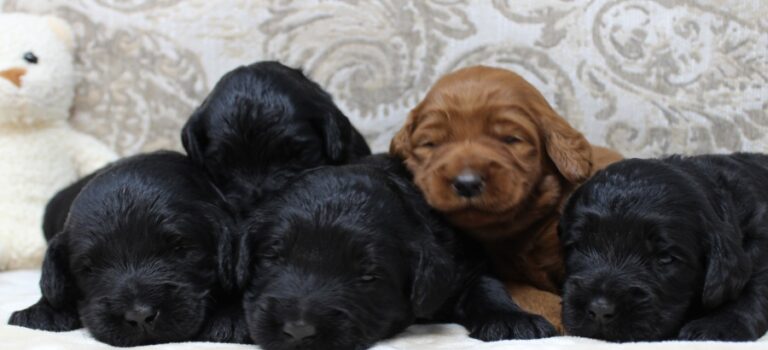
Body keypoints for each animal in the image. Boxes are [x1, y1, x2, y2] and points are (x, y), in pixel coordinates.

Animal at [9, 152, 249, 346]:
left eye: (180, 248)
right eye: (89, 269)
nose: (139, 316)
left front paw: (231, 317)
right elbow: (52, 283)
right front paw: (42, 311)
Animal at [237, 155, 556, 350]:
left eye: (368, 276)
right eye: (272, 258)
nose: (299, 330)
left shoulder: (460, 265)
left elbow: (485, 283)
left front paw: (511, 319)